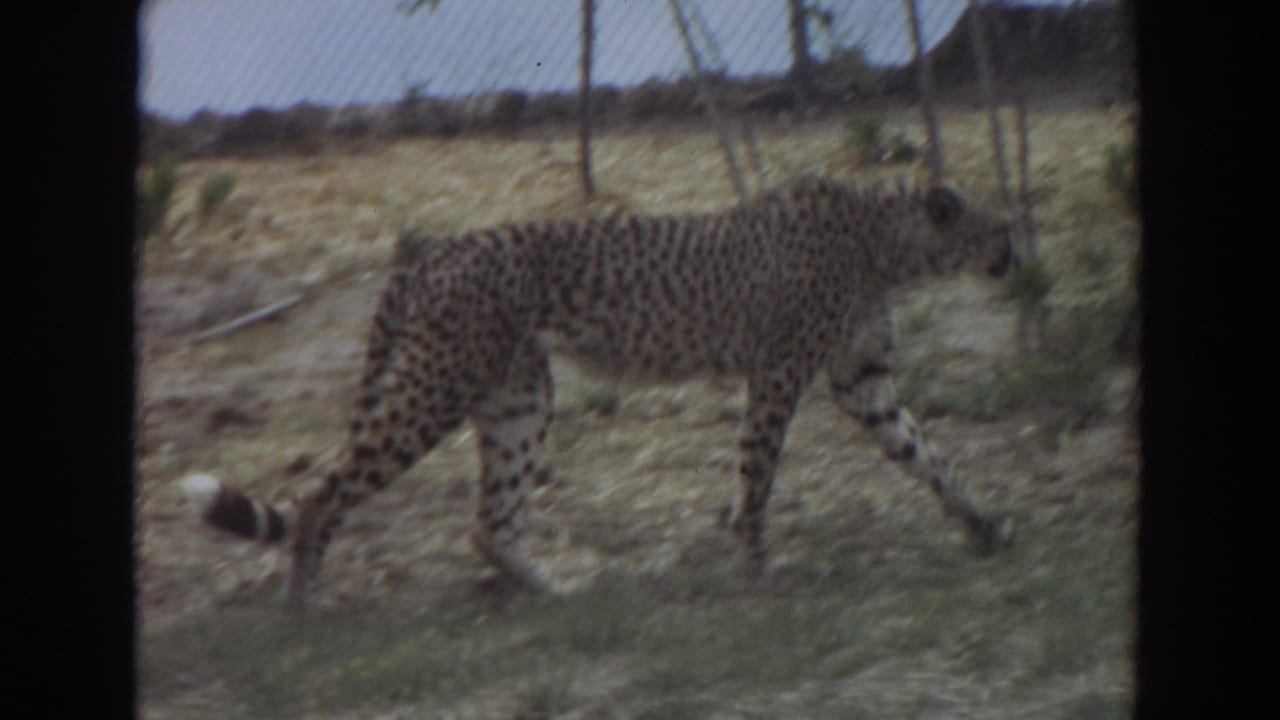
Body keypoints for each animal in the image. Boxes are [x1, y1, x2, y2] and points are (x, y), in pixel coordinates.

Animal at [182, 174, 1017, 611]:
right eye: (999, 229)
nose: (1016, 256)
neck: (888, 241)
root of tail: (434, 253)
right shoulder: (778, 373)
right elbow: (759, 473)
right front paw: (755, 567)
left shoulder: (861, 380)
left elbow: (927, 454)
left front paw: (983, 524)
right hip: (435, 390)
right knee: (323, 493)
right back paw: (300, 603)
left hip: (519, 398)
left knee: (488, 522)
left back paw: (555, 592)